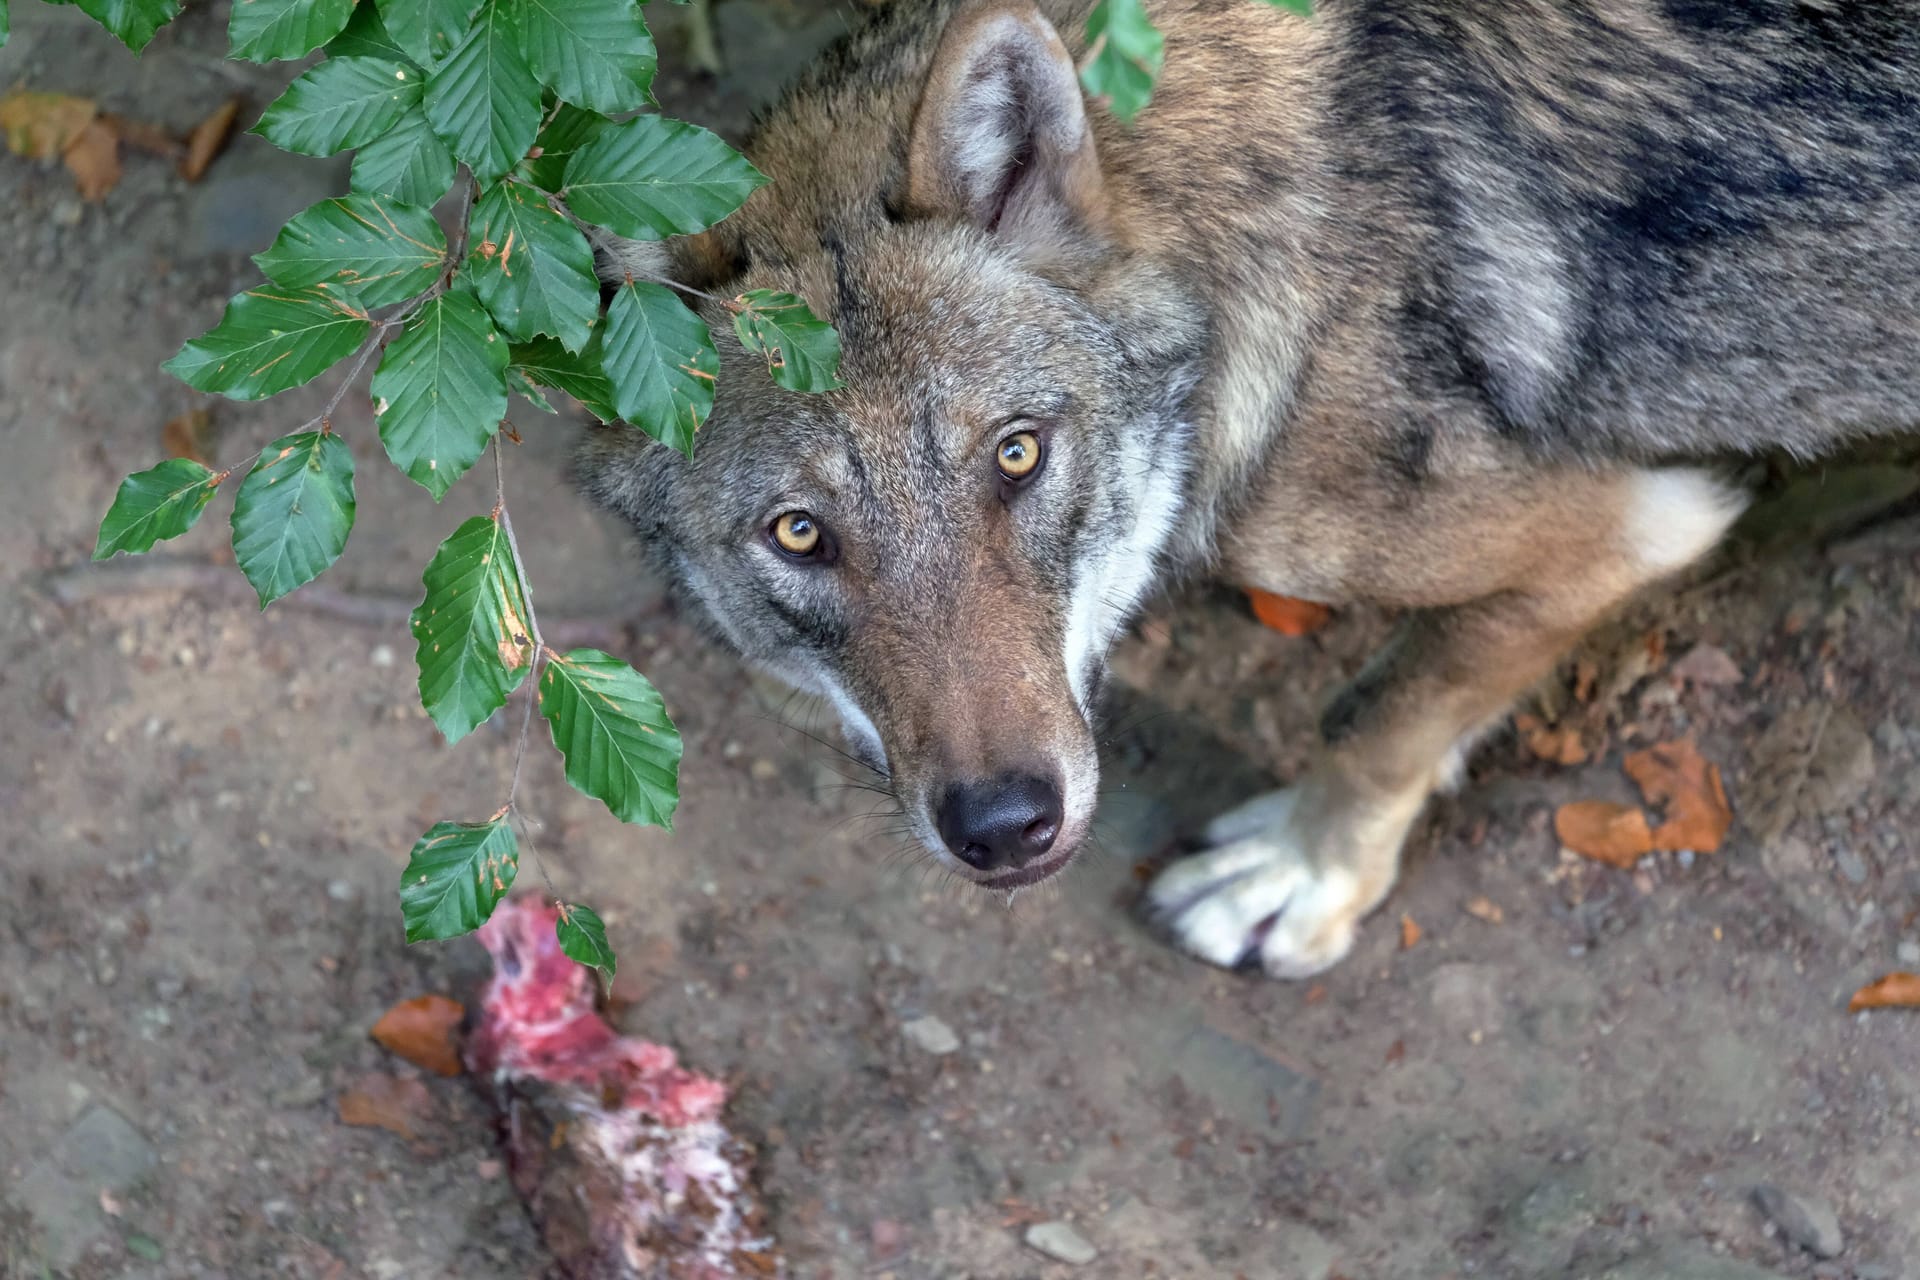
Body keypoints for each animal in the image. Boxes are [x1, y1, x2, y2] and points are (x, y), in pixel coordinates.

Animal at [579, 0, 1920, 982]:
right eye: (800, 533)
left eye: (1016, 454)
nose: (1006, 825)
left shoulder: (1634, 524)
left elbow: (1380, 717)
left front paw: (1300, 877)